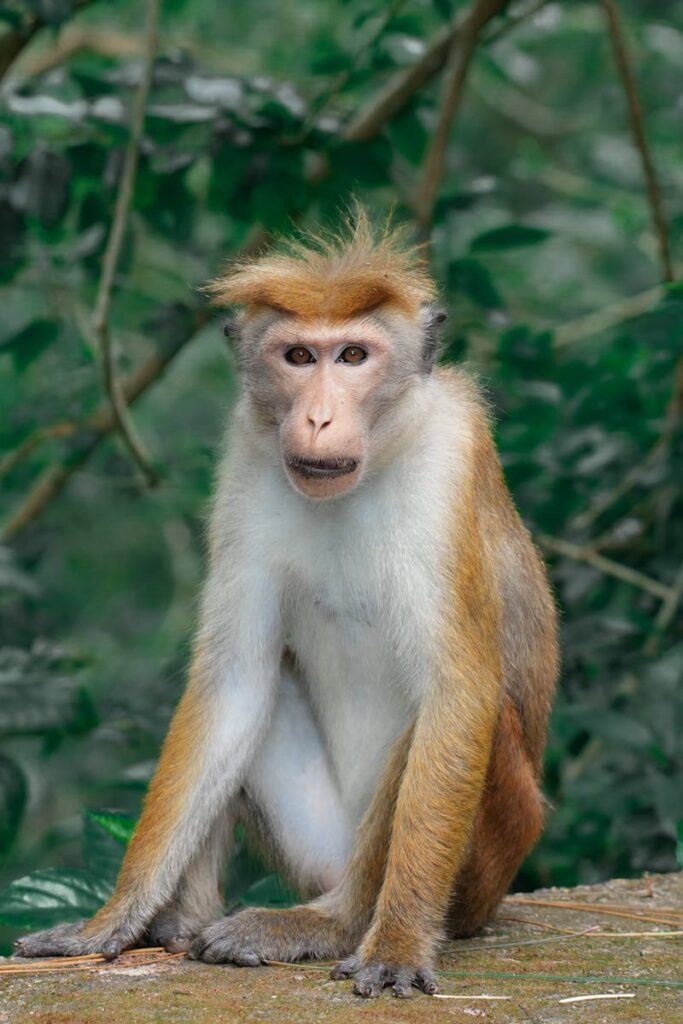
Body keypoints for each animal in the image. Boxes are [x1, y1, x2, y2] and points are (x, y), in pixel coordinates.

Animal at [15, 210, 558, 999]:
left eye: (354, 355)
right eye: (299, 356)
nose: (320, 418)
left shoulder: (450, 460)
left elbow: (458, 694)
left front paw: (398, 945)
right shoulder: (246, 459)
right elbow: (235, 681)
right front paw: (110, 920)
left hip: (488, 858)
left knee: (458, 725)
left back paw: (338, 922)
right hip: (316, 842)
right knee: (257, 696)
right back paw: (183, 922)